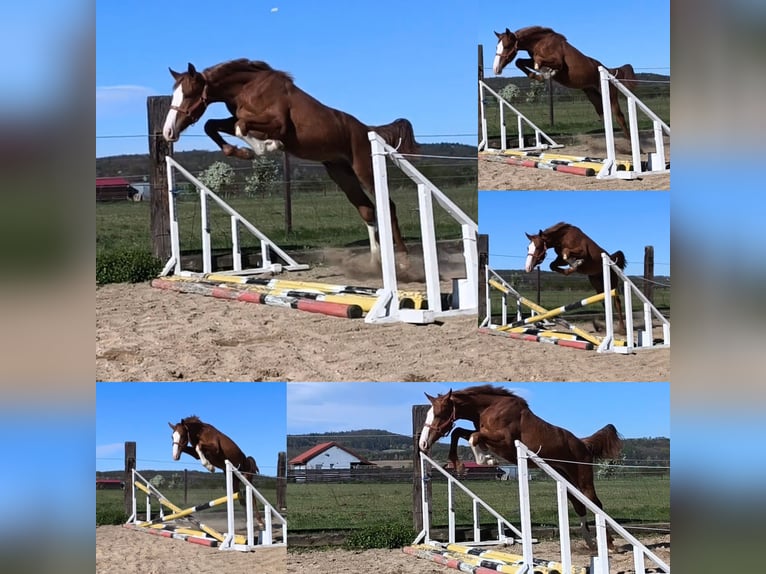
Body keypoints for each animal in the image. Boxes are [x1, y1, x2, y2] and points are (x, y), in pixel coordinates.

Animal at [161, 59, 419, 266]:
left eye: (189, 94)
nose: (168, 132)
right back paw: (375, 262)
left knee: (388, 206)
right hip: (341, 173)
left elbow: (241, 125)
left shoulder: (278, 123)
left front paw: (267, 147)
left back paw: (403, 259)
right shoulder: (236, 117)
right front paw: (241, 152)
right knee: (367, 209)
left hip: (364, 169)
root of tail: (367, 129)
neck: (247, 88)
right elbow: (213, 125)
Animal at [418, 385, 623, 549]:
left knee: (596, 504)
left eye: (439, 414)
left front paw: (487, 460)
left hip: (582, 477)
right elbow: (459, 432)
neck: (488, 408)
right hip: (565, 478)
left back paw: (610, 544)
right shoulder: (484, 433)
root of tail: (583, 443)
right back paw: (590, 543)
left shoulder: (505, 440)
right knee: (579, 504)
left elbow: (472, 436)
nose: (423, 444)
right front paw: (460, 464)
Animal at [492, 26, 637, 140]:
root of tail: (609, 70)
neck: (540, 42)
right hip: (593, 95)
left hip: (610, 94)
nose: (496, 69)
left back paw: (632, 146)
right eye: (496, 47)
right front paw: (539, 76)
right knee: (603, 115)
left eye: (506, 46)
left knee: (619, 117)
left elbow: (538, 61)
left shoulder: (558, 62)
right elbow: (520, 62)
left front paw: (547, 73)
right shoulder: (531, 59)